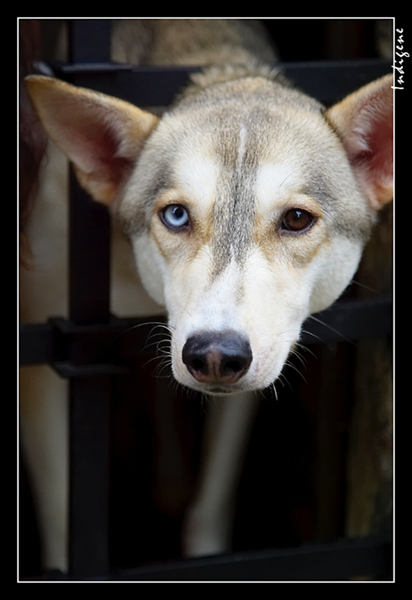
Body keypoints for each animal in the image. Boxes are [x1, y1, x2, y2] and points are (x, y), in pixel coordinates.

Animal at [20, 18, 392, 572]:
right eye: (176, 215)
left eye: (296, 219)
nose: (215, 354)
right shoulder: (43, 347)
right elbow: (64, 519)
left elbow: (210, 502)